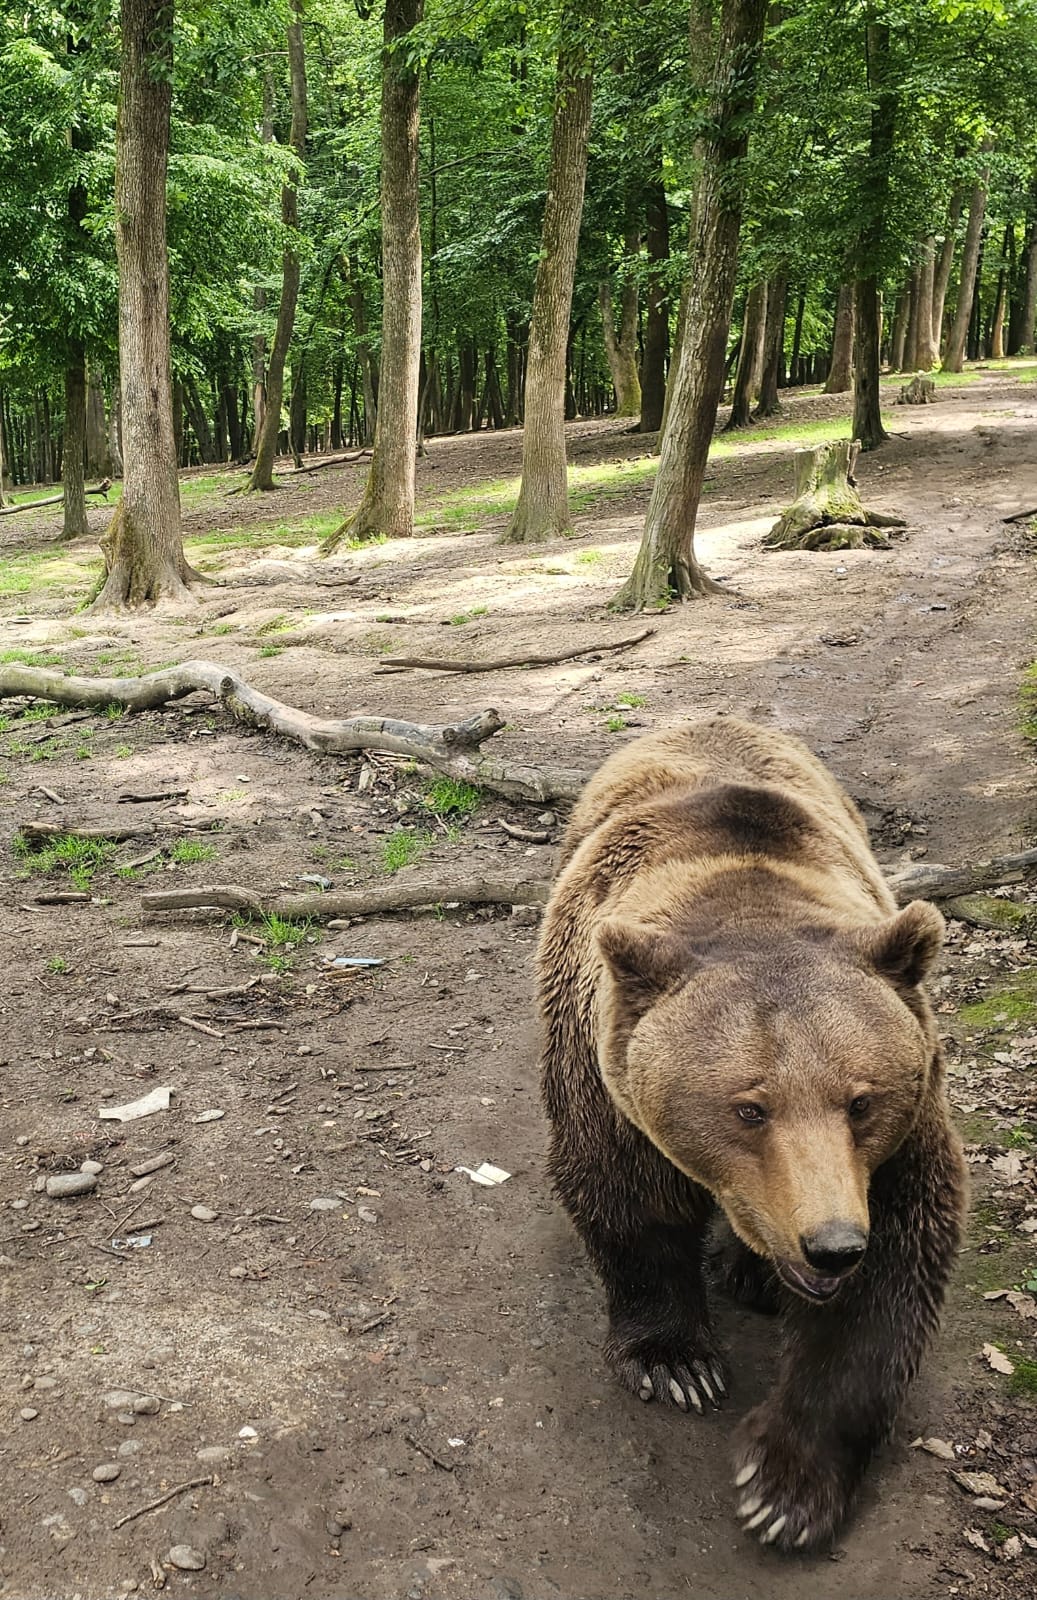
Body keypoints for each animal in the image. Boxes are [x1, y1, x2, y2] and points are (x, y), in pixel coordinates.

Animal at [537, 720, 966, 1555]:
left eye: (860, 1101)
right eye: (748, 1108)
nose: (829, 1245)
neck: (744, 899)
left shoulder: (896, 1148)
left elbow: (886, 1285)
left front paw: (784, 1488)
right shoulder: (605, 1083)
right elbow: (627, 1200)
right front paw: (675, 1363)